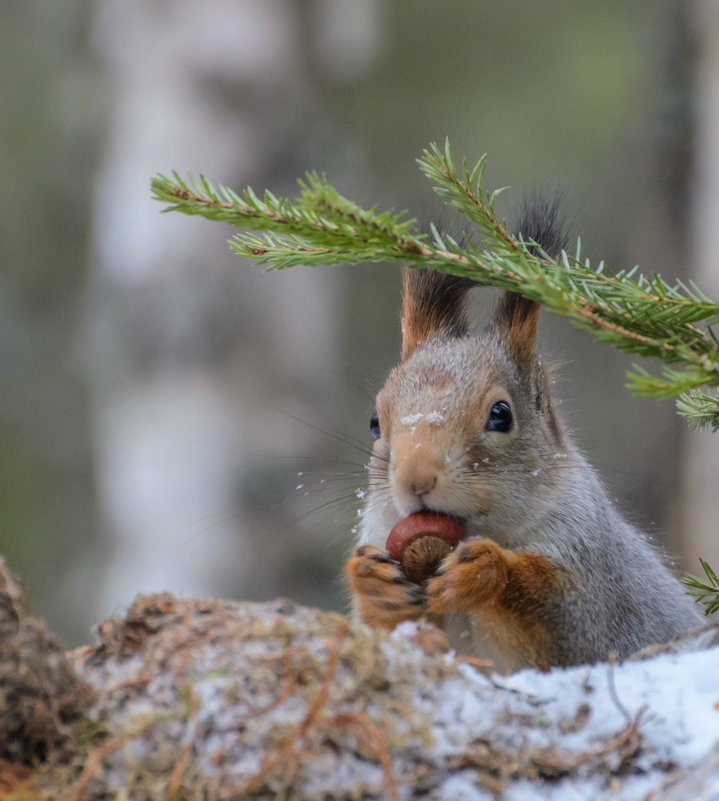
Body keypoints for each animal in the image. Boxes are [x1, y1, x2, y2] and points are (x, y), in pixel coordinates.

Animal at [348, 200, 704, 668]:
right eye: (375, 421)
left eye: (501, 415)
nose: (415, 480)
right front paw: (371, 579)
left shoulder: (594, 581)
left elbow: (562, 613)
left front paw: (486, 570)